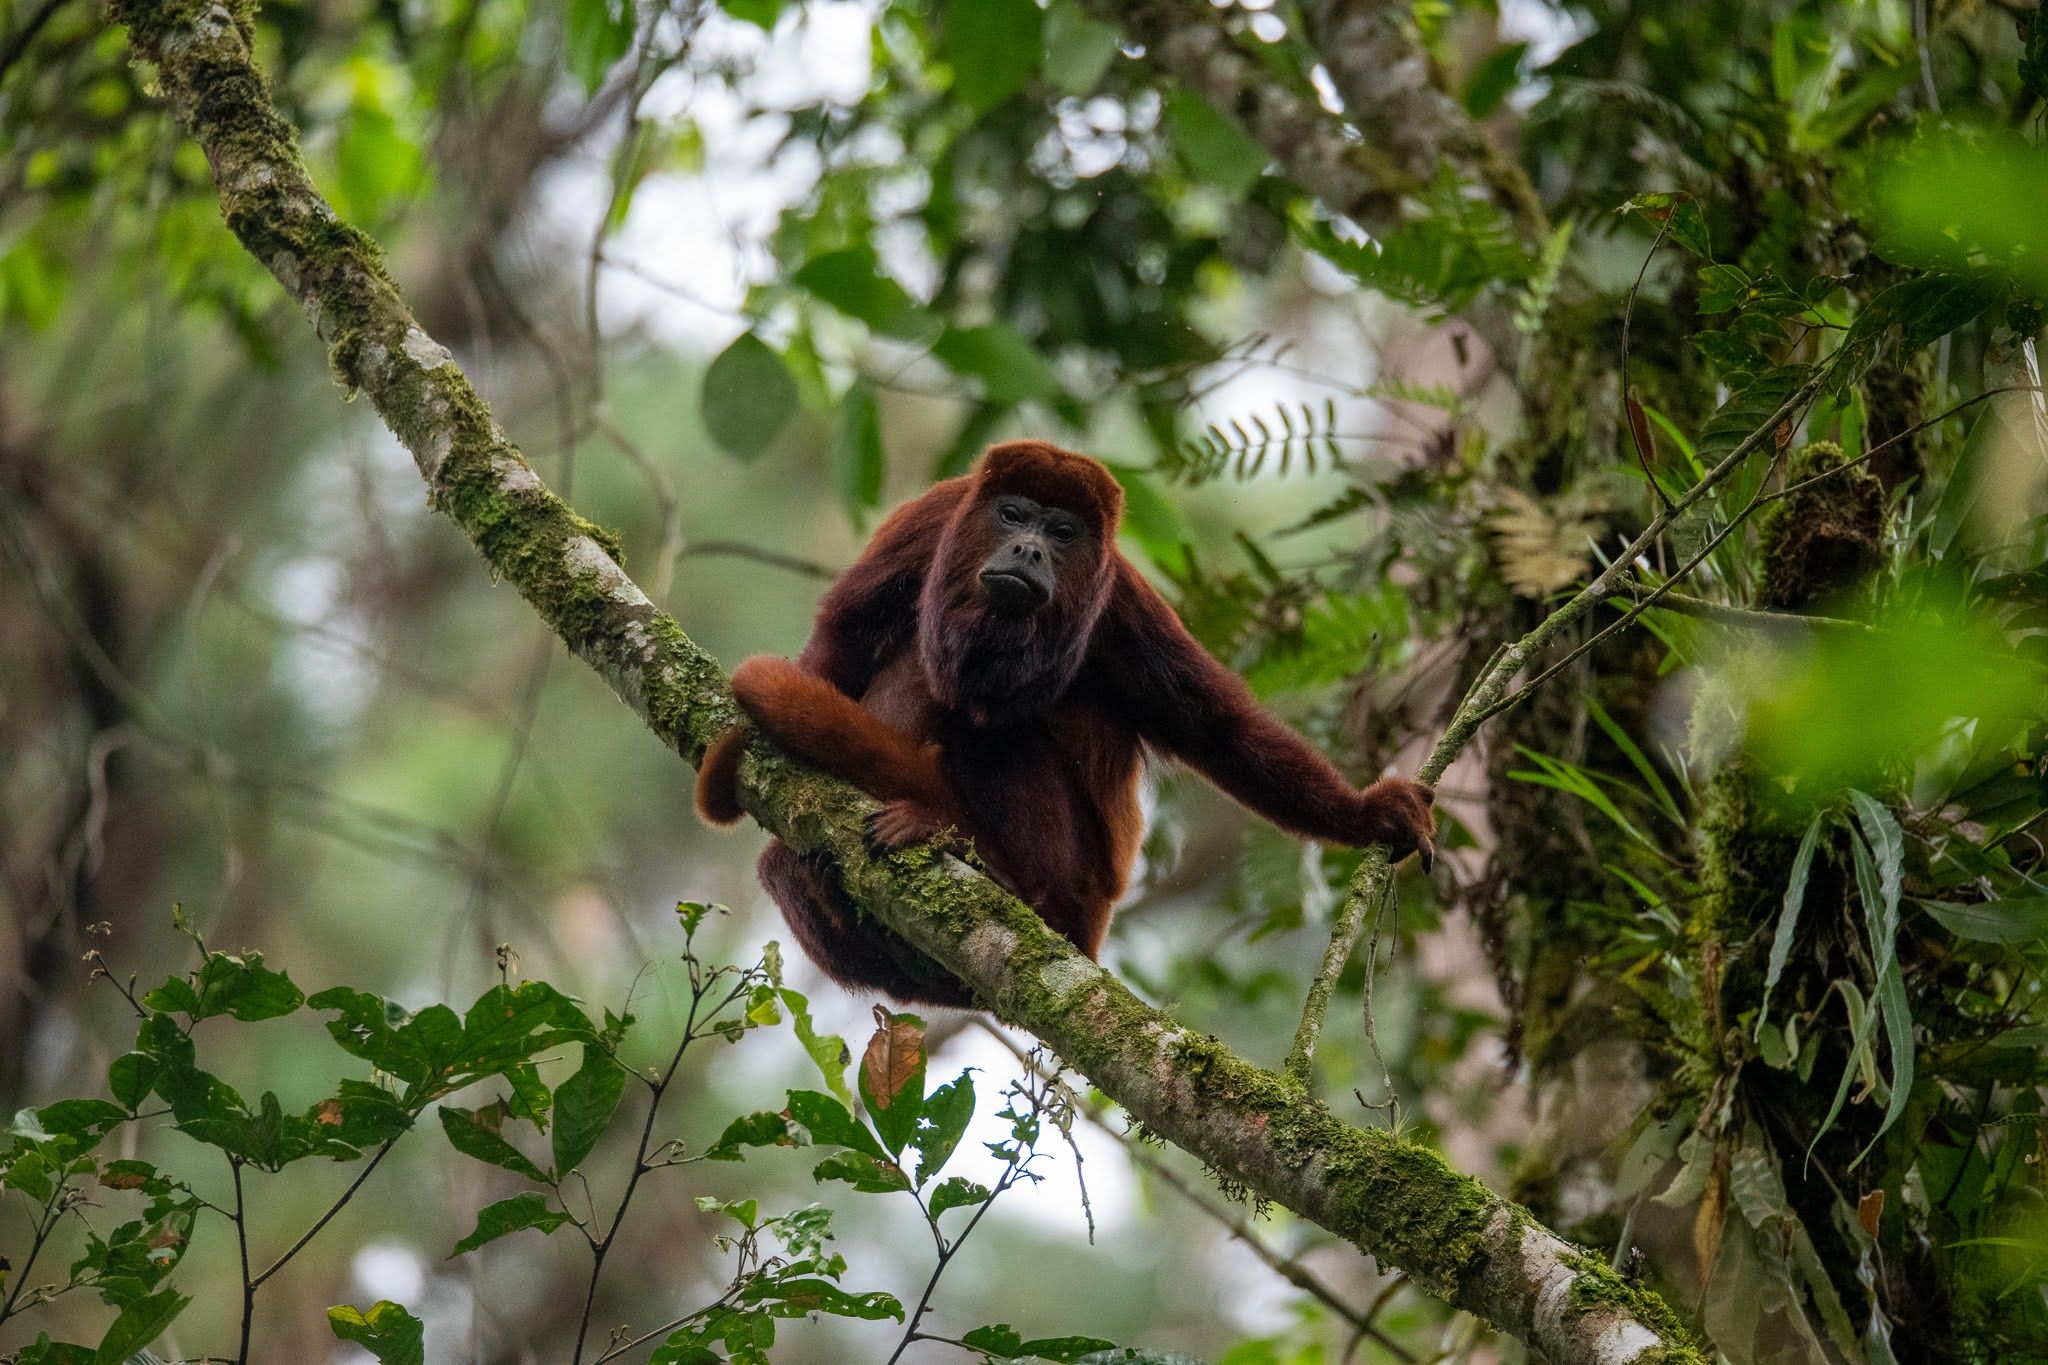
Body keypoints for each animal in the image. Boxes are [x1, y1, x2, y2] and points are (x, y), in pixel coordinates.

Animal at [696, 444, 1433, 1010]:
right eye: (1014, 515)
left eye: (1063, 533)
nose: (1028, 549)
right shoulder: (930, 519)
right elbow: (843, 636)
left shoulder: (1122, 600)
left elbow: (1217, 727)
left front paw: (1368, 814)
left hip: (1080, 885)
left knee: (991, 725)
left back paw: (1001, 869)